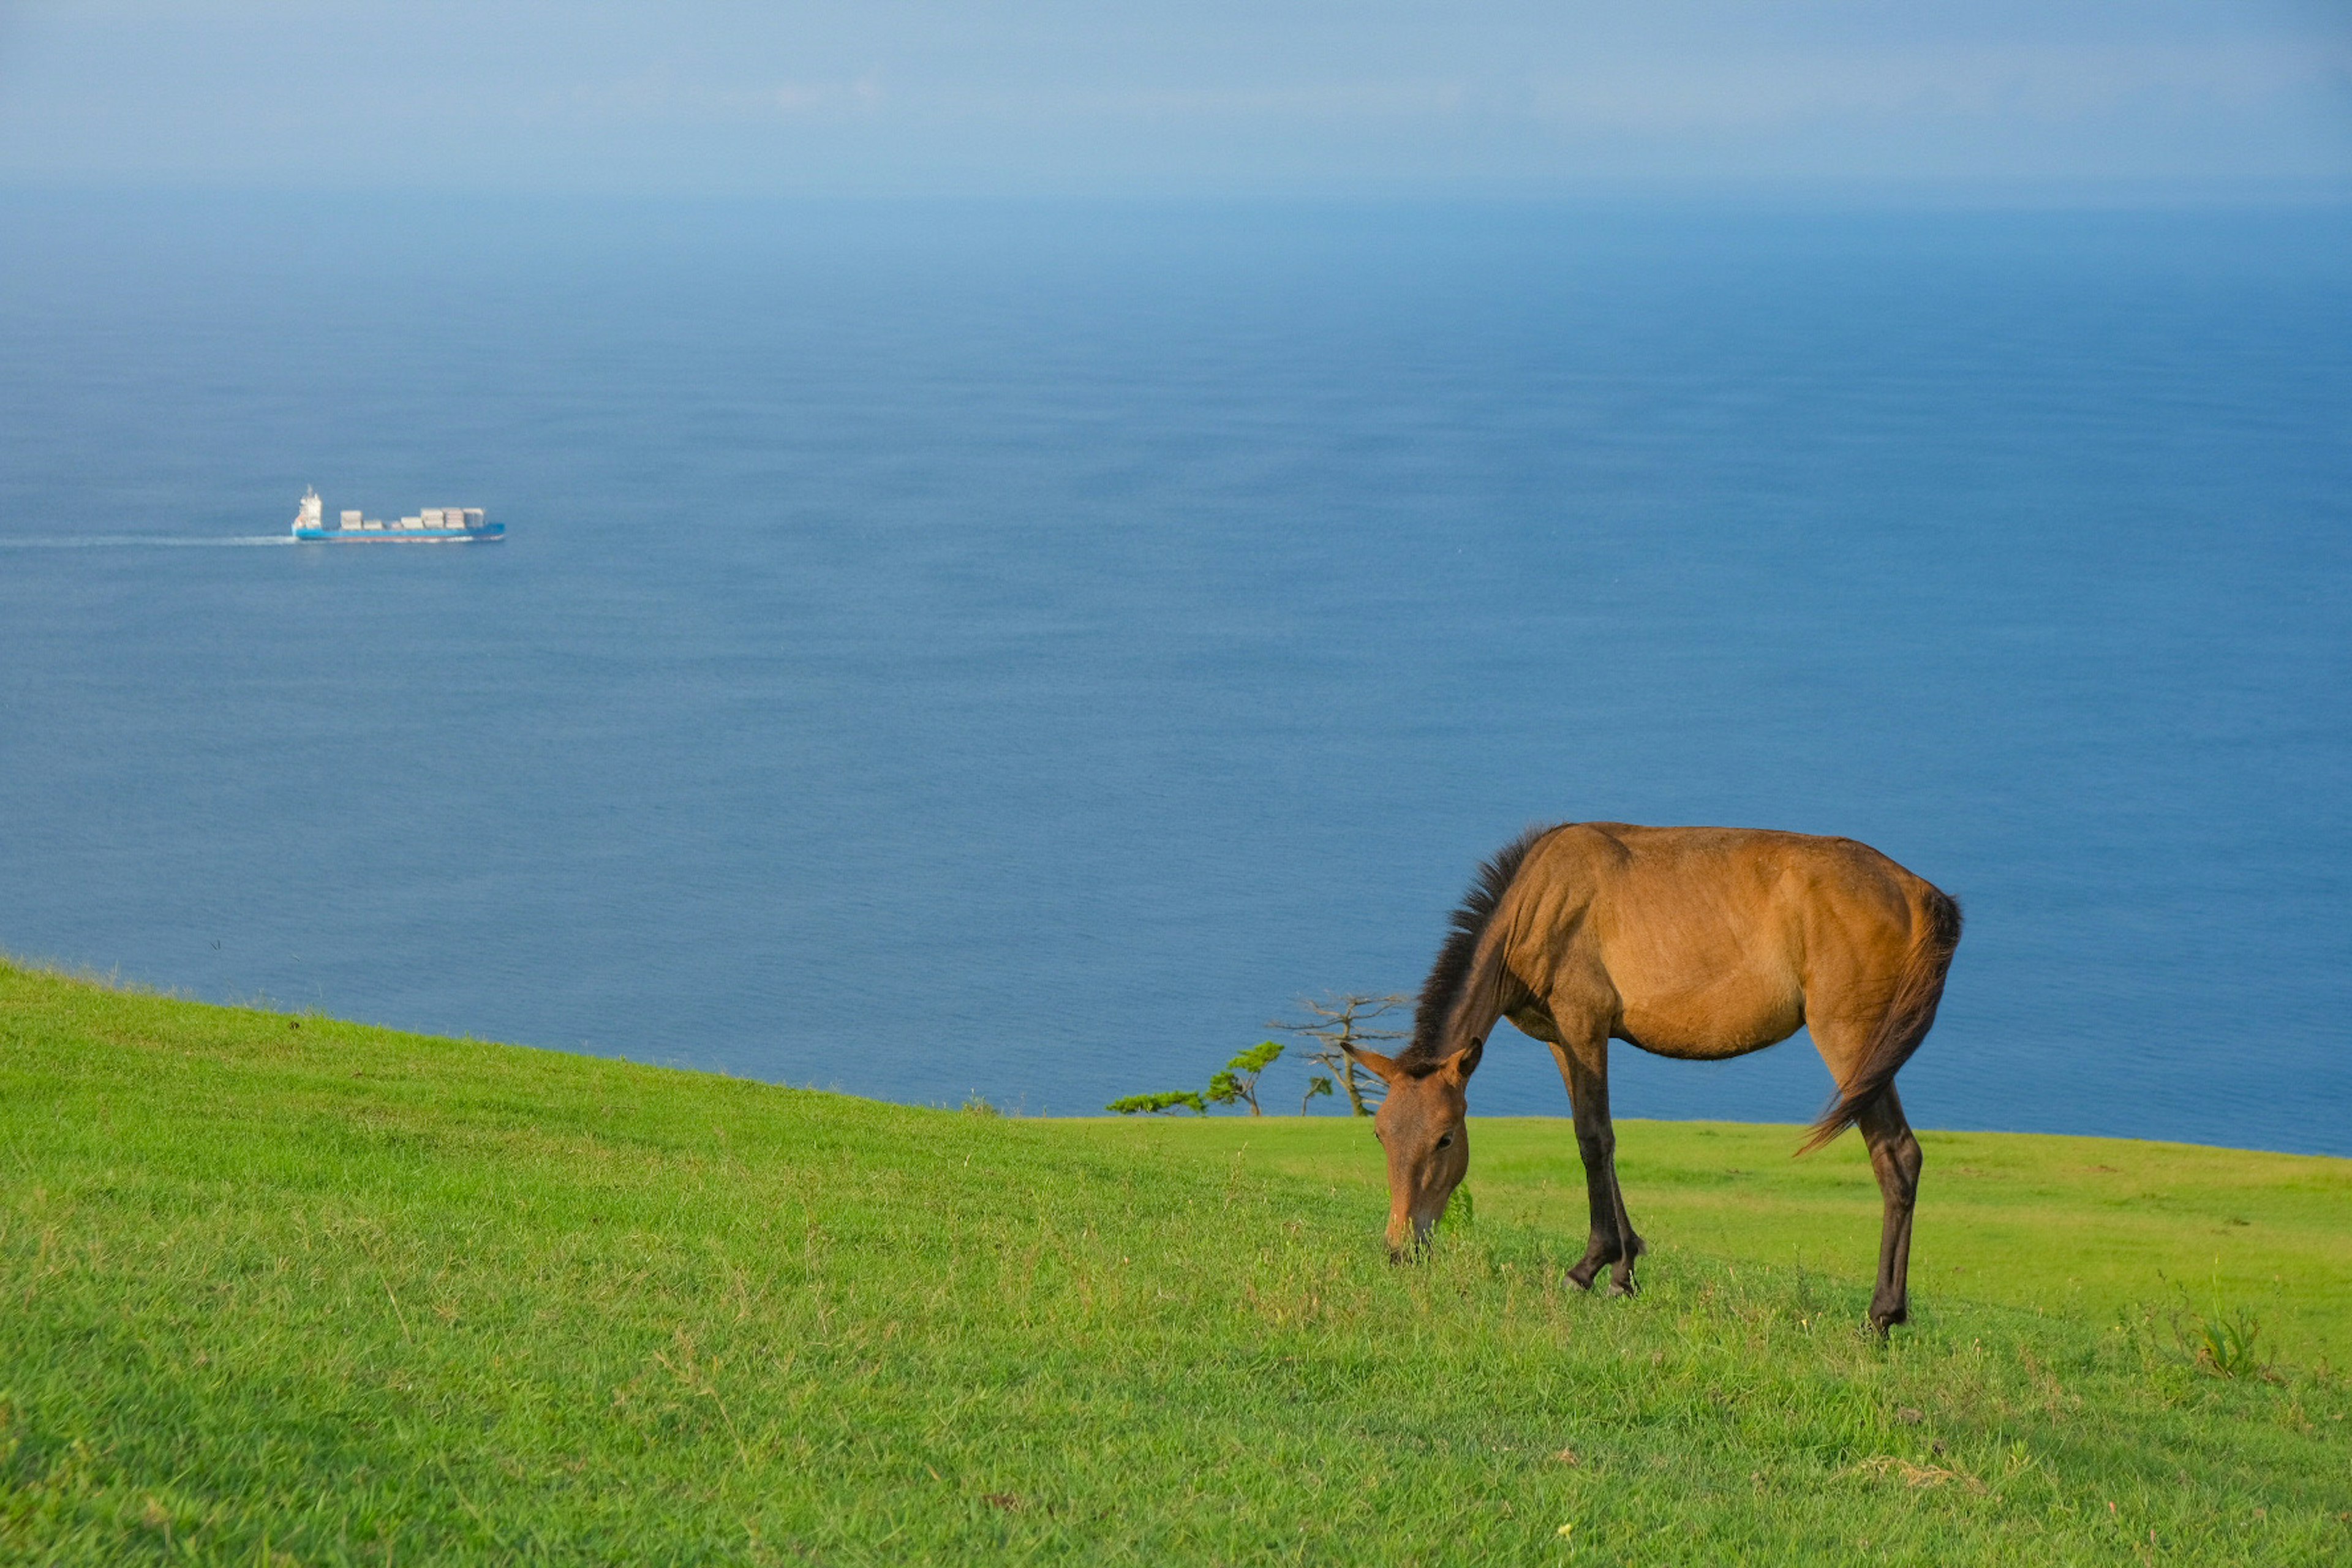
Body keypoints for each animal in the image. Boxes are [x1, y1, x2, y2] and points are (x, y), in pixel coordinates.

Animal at [1345, 823, 1966, 1335]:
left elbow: (1595, 1140)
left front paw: (1590, 1267)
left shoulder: (1585, 1026)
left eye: (1446, 1137)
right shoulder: (1561, 1040)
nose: (1400, 1247)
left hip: (1852, 1039)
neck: (1540, 903)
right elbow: (1598, 1141)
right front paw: (1624, 1271)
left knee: (1895, 1155)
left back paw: (1881, 1315)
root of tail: (1918, 893)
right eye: (1380, 1134)